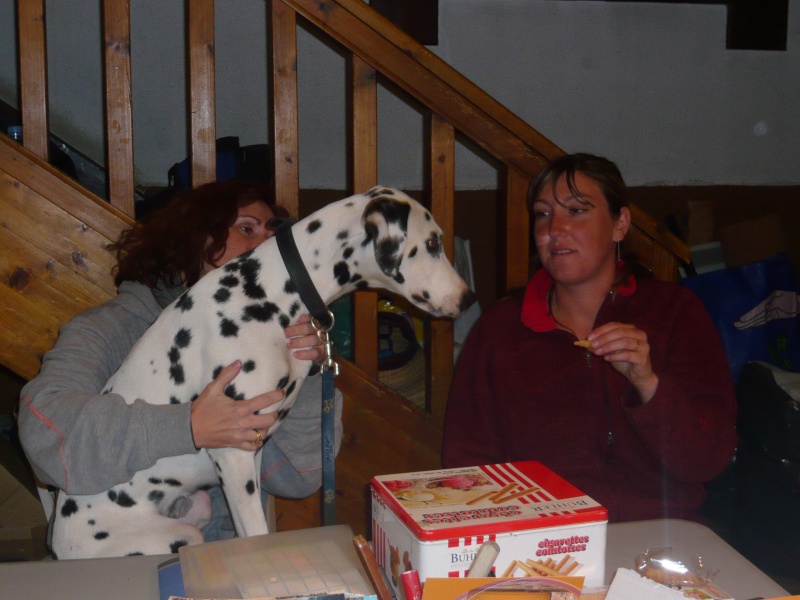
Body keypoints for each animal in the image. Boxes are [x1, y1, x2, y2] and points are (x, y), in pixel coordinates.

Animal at [51, 186, 476, 556]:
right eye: (433, 243)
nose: (470, 298)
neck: (272, 291)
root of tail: (57, 541)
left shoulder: (251, 454)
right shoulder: (232, 452)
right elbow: (255, 533)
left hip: (199, 506)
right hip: (173, 537)